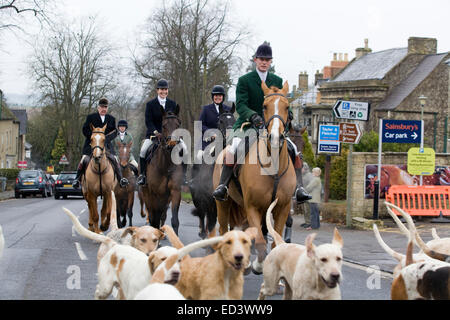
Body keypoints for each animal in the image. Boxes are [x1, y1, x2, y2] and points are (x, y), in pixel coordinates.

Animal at [141, 106, 183, 234]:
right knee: (153, 216)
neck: (166, 166)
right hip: (147, 194)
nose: (172, 144)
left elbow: (175, 221)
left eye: (178, 124)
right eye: (164, 125)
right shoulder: (154, 194)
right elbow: (154, 219)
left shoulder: (175, 192)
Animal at [189, 104, 236, 239]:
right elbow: (210, 222)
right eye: (221, 121)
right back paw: (202, 232)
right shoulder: (210, 200)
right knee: (201, 213)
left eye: (234, 120)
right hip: (197, 196)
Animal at [213, 81, 298, 274]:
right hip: (224, 203)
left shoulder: (282, 207)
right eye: (264, 106)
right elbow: (259, 241)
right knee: (223, 230)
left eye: (287, 107)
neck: (273, 166)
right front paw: (258, 265)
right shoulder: (252, 207)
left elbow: (274, 241)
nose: (276, 136)